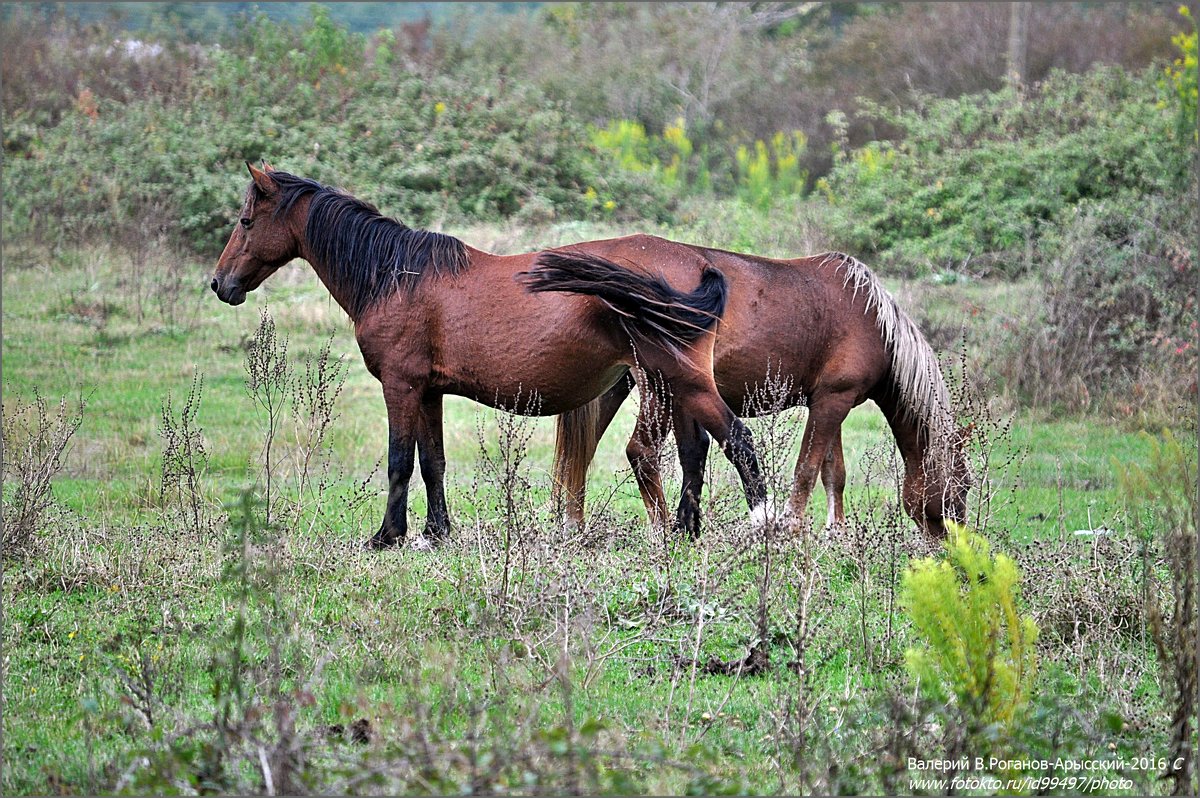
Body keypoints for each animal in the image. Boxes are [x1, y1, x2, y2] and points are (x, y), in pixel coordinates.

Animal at [211, 162, 768, 547]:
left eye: (245, 220)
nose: (220, 284)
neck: (394, 277)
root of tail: (698, 263)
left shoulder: (400, 386)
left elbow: (399, 460)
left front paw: (388, 536)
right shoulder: (428, 392)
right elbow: (432, 462)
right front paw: (437, 532)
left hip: (680, 380)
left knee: (738, 440)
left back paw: (763, 524)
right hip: (668, 384)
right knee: (698, 450)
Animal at [552, 241, 974, 542]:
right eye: (962, 485)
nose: (953, 544)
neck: (875, 324)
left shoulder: (831, 401)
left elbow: (833, 472)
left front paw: (835, 533)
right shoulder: (833, 401)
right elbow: (807, 469)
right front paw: (791, 527)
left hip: (617, 384)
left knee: (581, 455)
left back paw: (573, 523)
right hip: (658, 385)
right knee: (638, 451)